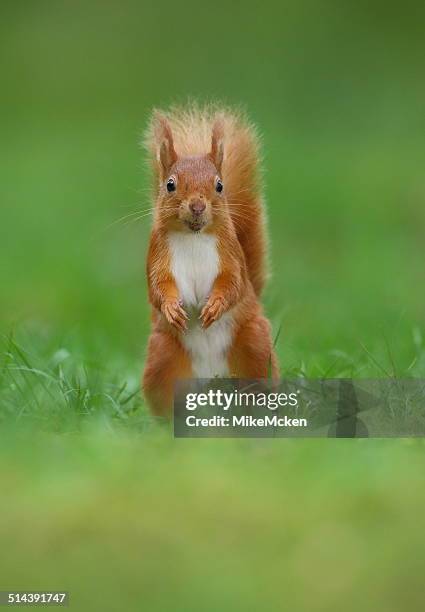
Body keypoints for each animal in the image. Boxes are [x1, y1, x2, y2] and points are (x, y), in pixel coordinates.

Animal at [142, 105, 278, 416]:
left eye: (219, 185)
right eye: (170, 185)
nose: (197, 205)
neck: (194, 236)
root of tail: (211, 381)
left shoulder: (231, 255)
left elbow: (234, 283)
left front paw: (214, 306)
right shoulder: (157, 255)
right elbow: (157, 288)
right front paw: (171, 309)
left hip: (255, 343)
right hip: (162, 356)